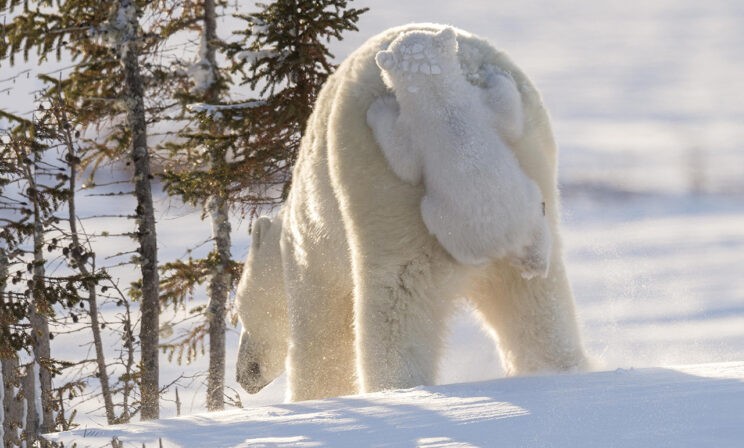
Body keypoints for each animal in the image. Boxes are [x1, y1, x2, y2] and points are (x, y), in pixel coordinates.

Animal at [366, 28, 552, 276]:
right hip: (524, 208)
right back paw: (536, 265)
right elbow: (508, 118)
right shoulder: (474, 108)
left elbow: (406, 165)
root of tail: (507, 242)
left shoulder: (422, 126)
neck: (441, 100)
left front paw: (378, 107)